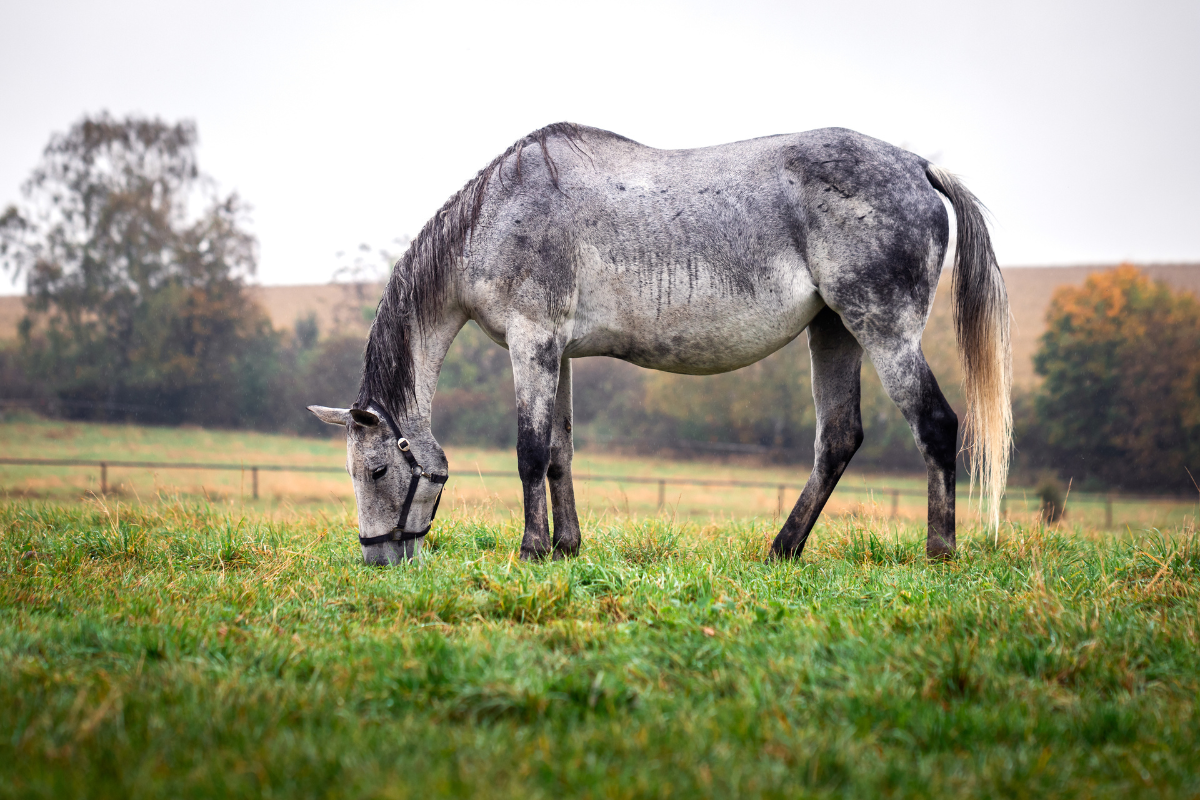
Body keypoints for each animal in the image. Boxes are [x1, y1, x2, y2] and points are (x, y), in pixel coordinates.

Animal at [308, 122, 1011, 565]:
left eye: (376, 470)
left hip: (882, 329)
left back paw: (938, 552)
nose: (378, 559)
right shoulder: (558, 354)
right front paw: (566, 547)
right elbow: (560, 451)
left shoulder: (532, 345)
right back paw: (782, 549)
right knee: (838, 438)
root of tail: (917, 166)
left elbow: (530, 451)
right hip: (835, 331)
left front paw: (531, 550)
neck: (498, 214)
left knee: (935, 424)